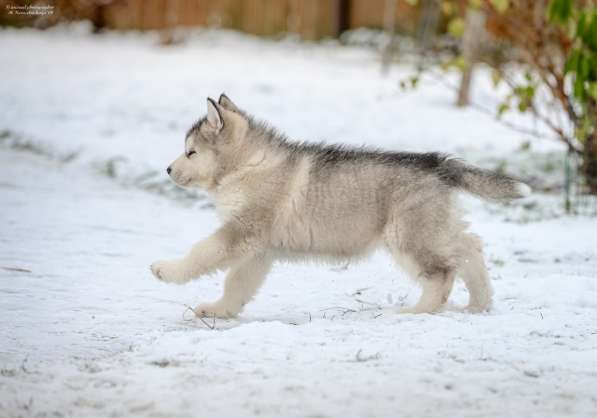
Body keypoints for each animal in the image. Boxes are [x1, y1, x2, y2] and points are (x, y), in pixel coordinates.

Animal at [151, 94, 528, 316]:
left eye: (191, 152)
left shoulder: (240, 232)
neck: (248, 164)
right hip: (436, 226)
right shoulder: (259, 249)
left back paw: (418, 311)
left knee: (442, 272)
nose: (167, 169)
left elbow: (202, 252)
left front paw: (166, 270)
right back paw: (479, 303)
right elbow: (237, 283)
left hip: (408, 236)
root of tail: (438, 163)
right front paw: (220, 310)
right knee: (470, 247)